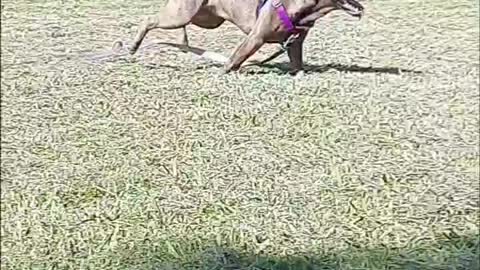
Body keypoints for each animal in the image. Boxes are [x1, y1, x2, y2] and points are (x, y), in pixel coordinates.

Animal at [127, 0, 364, 74]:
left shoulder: (295, 44)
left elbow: (298, 65)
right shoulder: (255, 38)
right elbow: (235, 59)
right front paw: (224, 72)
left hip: (203, 18)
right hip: (180, 15)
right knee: (149, 20)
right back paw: (133, 46)